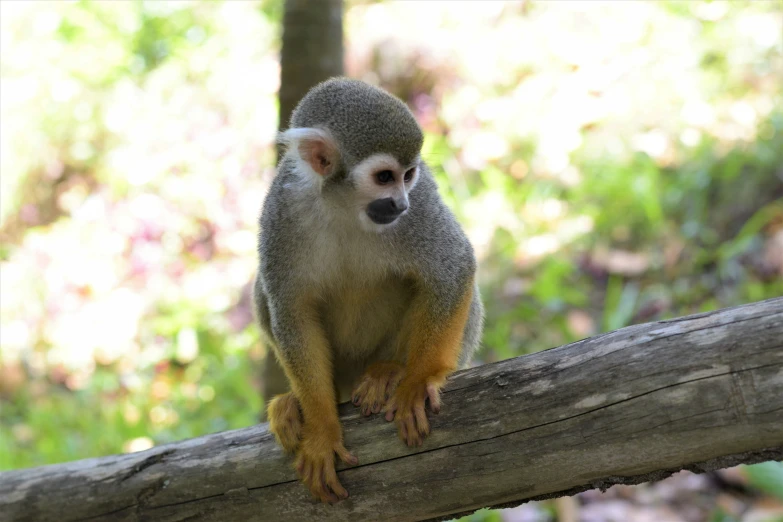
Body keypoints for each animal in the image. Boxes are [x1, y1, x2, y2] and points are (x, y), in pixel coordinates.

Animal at [254, 76, 484, 500]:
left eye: (408, 175)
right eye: (384, 177)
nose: (401, 204)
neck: (344, 206)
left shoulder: (423, 201)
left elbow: (453, 267)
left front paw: (417, 382)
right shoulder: (281, 211)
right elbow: (291, 312)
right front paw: (322, 430)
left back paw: (389, 371)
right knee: (262, 292)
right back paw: (295, 404)